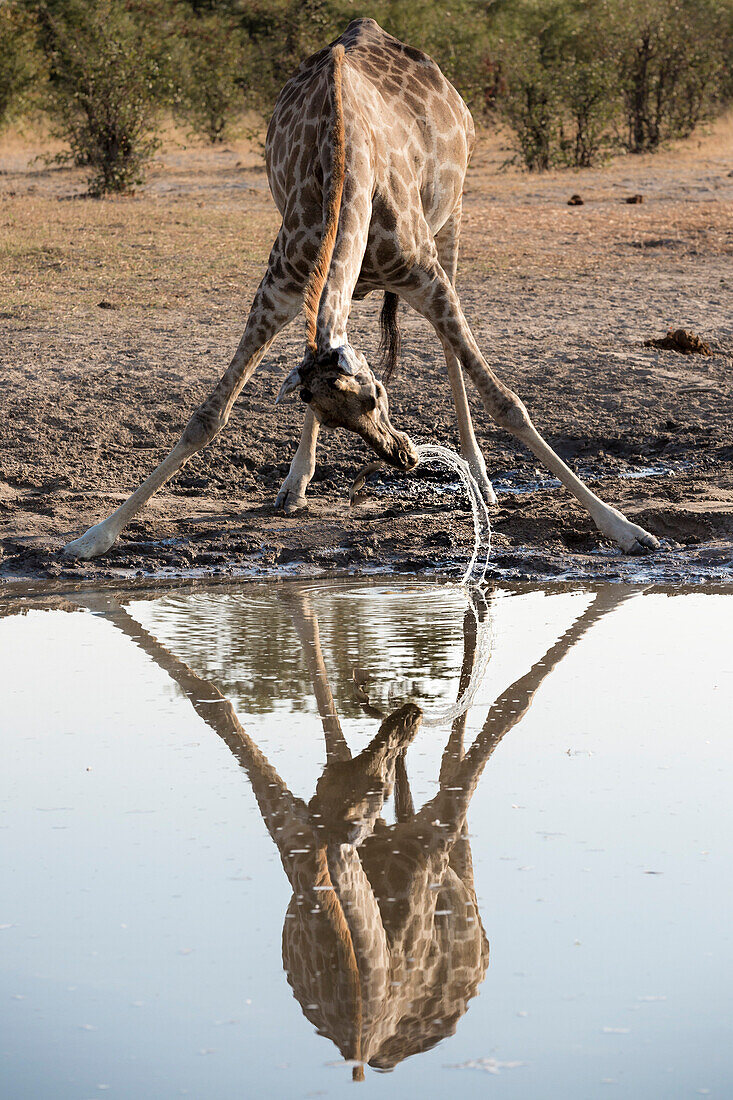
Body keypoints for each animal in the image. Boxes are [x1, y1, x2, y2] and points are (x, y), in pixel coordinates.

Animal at [62, 19, 655, 558]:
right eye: (333, 417)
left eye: (376, 397)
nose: (403, 457)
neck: (346, 167)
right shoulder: (279, 288)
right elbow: (208, 416)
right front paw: (92, 538)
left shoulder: (426, 275)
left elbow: (506, 401)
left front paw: (626, 530)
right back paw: (294, 485)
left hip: (454, 219)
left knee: (450, 352)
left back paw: (482, 476)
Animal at [72, 580, 629, 1078]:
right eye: (370, 790)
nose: (405, 715)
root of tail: (369, 1048)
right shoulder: (308, 828)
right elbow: (220, 695)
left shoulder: (385, 831)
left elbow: (510, 703)